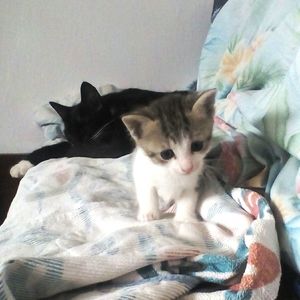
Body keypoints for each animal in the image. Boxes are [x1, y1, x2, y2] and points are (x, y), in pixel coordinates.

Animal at [11, 81, 185, 177]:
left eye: (84, 127)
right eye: (69, 134)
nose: (78, 143)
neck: (114, 111)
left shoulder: (116, 143)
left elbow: (70, 150)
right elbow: (58, 146)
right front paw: (22, 164)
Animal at [122, 89, 216, 223]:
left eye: (197, 145)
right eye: (166, 154)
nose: (187, 168)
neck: (170, 172)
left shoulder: (195, 180)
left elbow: (188, 198)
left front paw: (184, 218)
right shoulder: (142, 172)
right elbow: (147, 192)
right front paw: (148, 213)